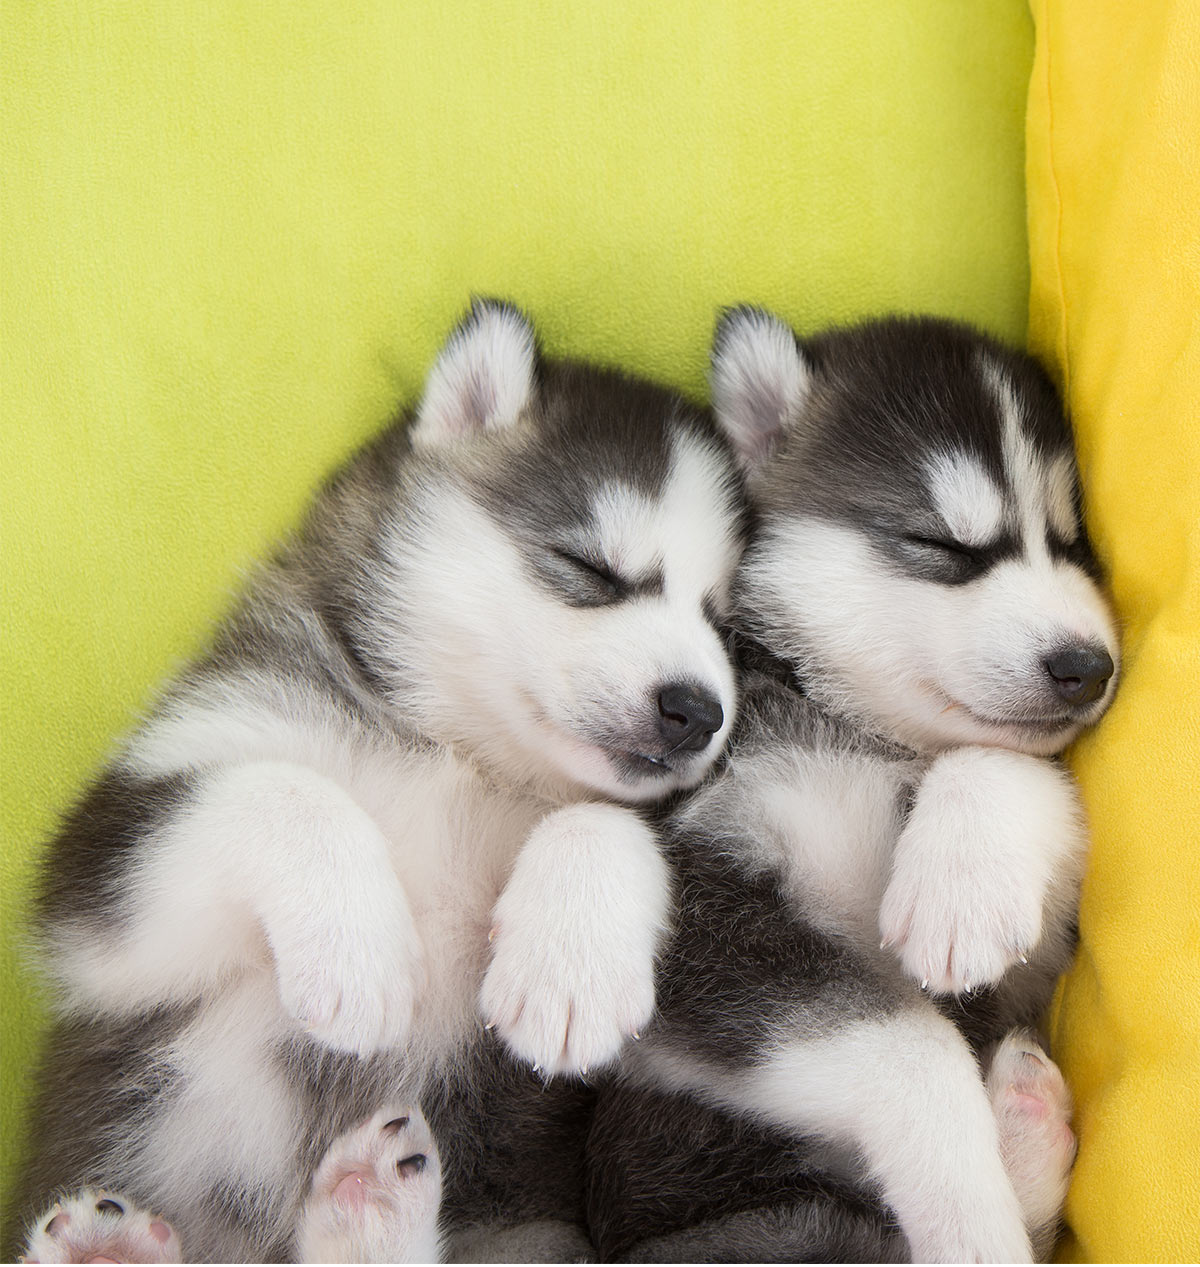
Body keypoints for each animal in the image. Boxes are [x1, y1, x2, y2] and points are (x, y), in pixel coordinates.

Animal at [14, 301, 750, 1261]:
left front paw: (571, 965)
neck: (455, 755)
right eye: (589, 569)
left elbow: (606, 822)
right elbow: (282, 791)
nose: (698, 710)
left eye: (728, 627)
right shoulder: (104, 902)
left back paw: (362, 1204)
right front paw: (360, 953)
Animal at [585, 304, 1120, 1256]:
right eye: (941, 545)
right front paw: (969, 1214)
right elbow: (911, 1046)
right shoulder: (703, 918)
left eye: (1071, 545)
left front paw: (959, 888)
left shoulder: (1042, 946)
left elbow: (1008, 767)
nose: (1088, 667)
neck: (865, 740)